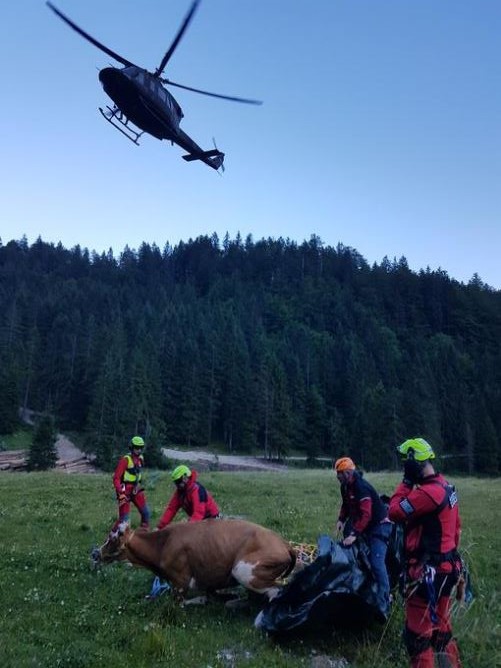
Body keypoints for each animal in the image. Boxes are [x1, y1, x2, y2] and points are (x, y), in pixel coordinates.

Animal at [93, 516, 294, 604]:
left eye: (112, 539)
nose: (95, 554)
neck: (162, 544)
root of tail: (283, 541)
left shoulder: (181, 582)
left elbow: (181, 603)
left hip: (244, 570)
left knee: (276, 591)